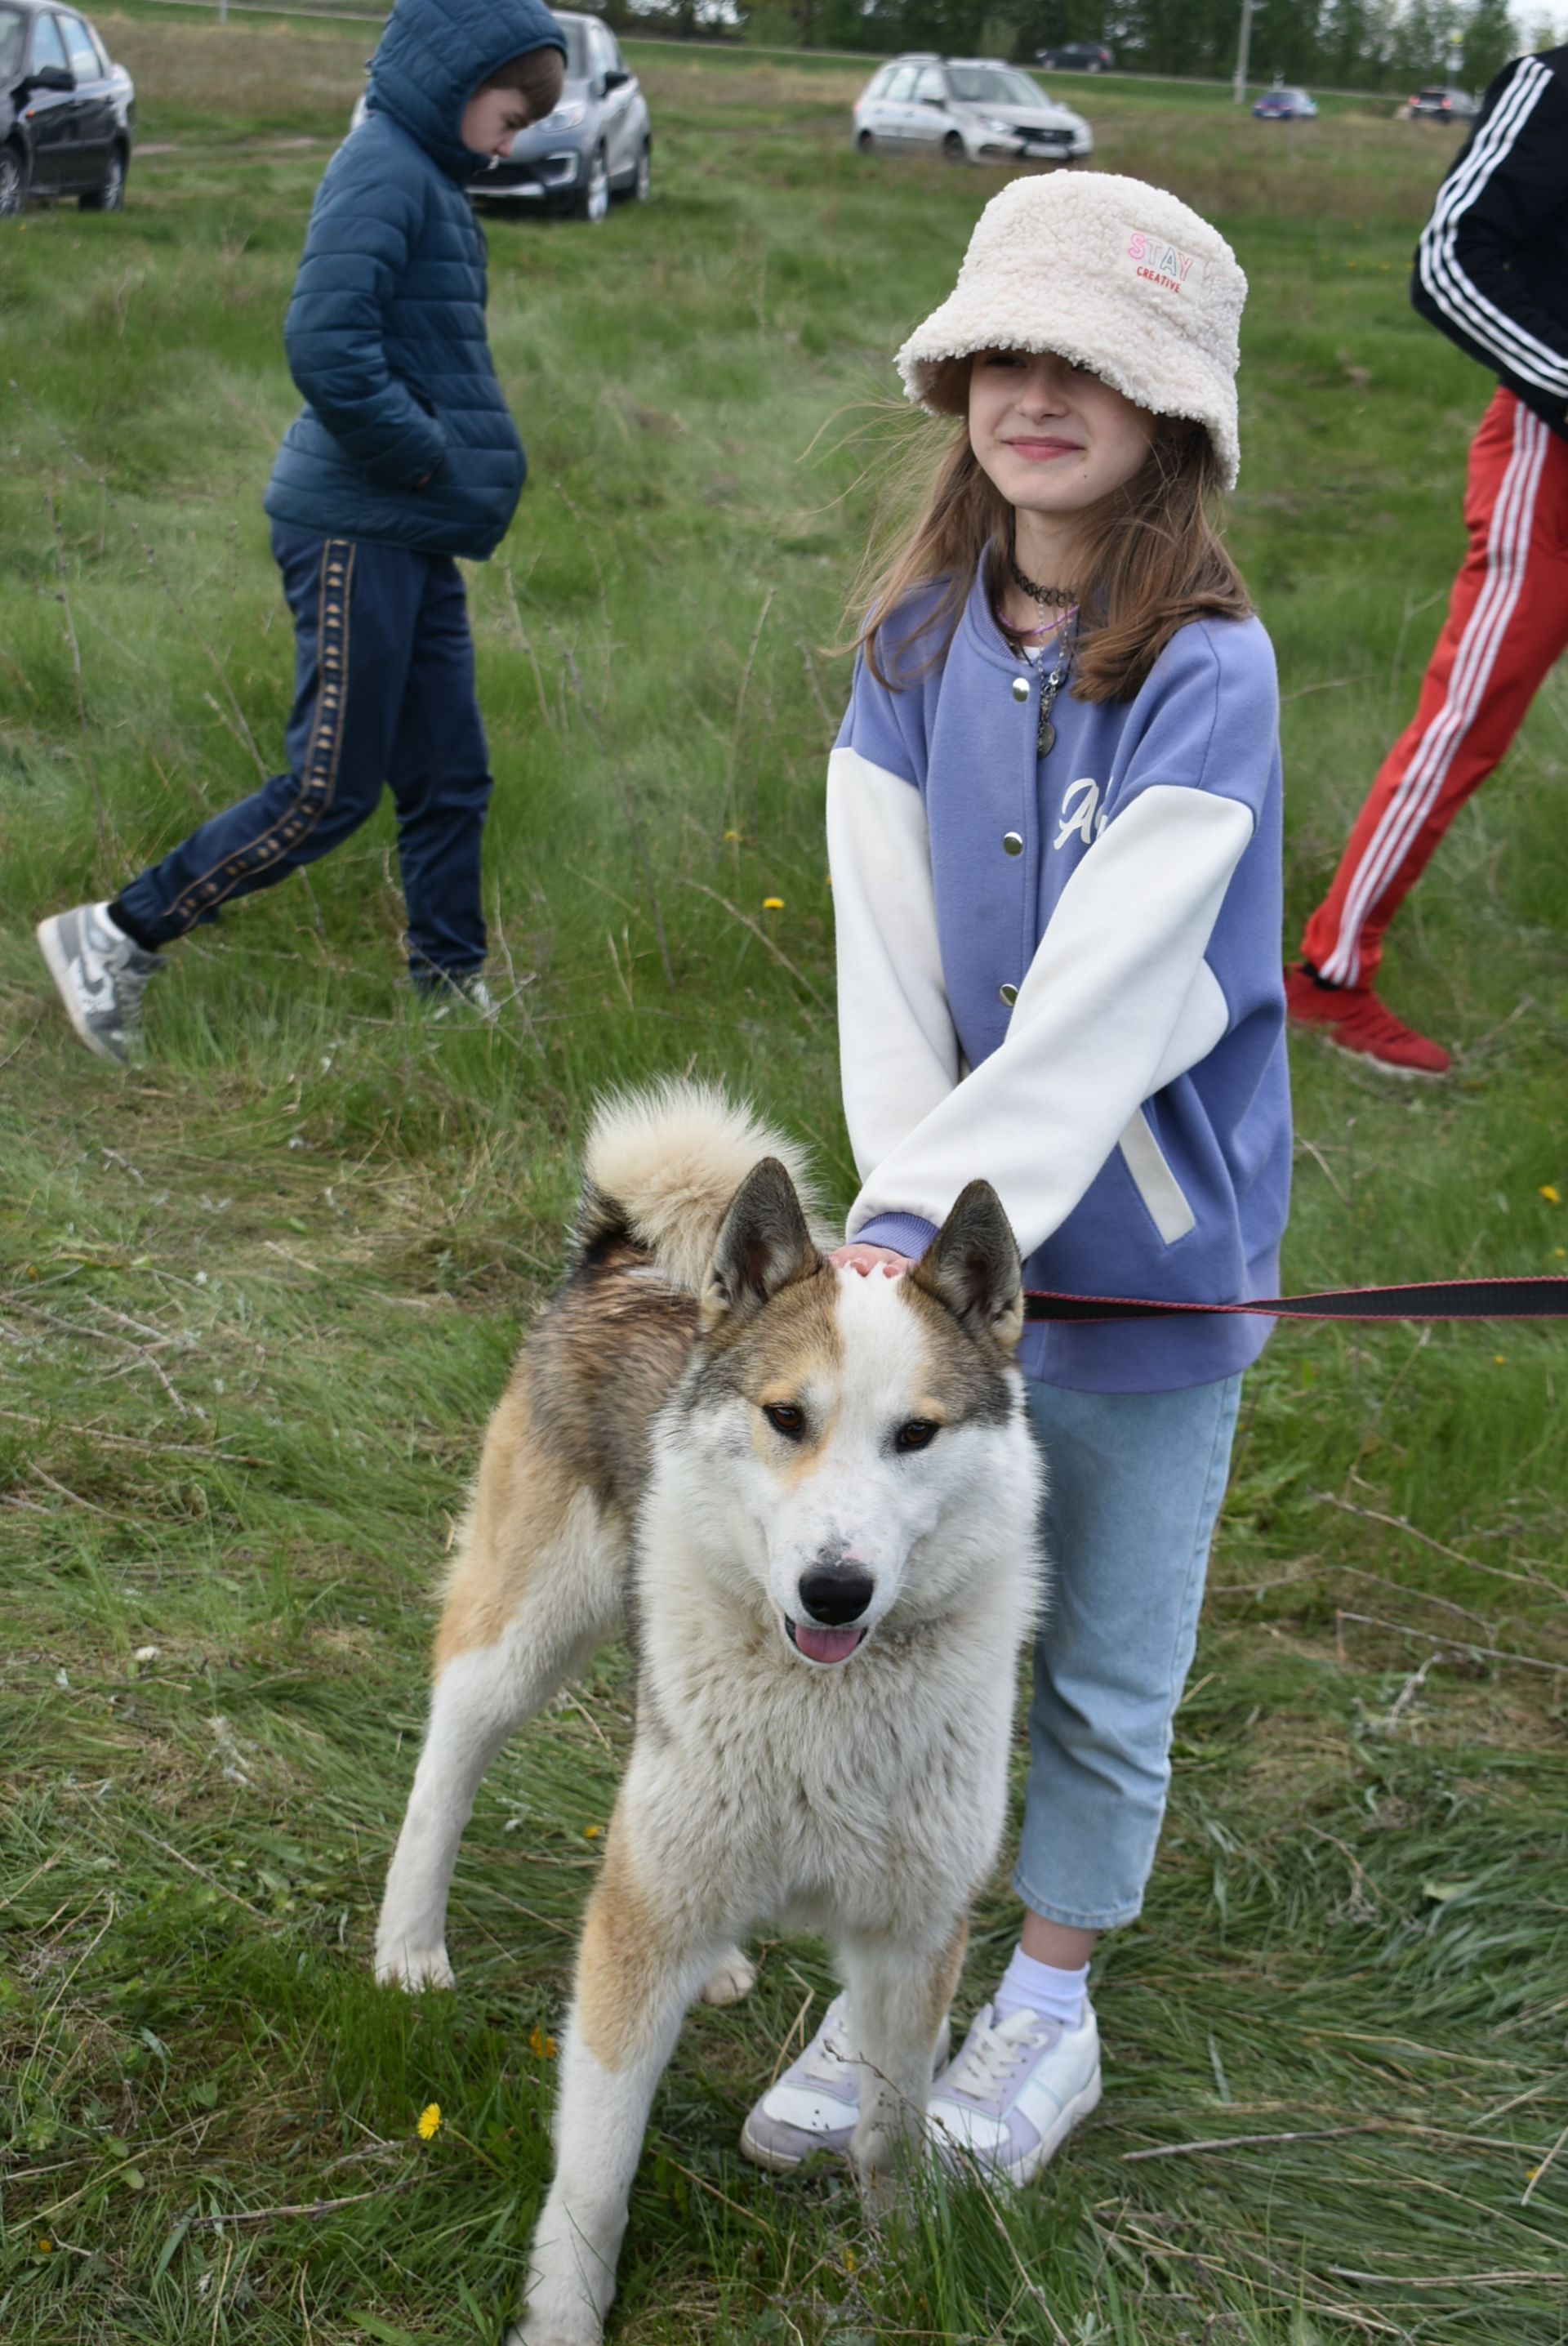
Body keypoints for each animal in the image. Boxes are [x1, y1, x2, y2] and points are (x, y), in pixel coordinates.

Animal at [372, 1083, 1045, 2346]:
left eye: (916, 1435)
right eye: (787, 1417)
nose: (835, 1590)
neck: (827, 1705)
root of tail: (623, 1259)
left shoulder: (911, 1946)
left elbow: (889, 2137)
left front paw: (898, 2275)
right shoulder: (630, 1949)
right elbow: (594, 2172)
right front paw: (563, 2320)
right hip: (527, 1635)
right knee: (448, 1760)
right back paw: (408, 1947)